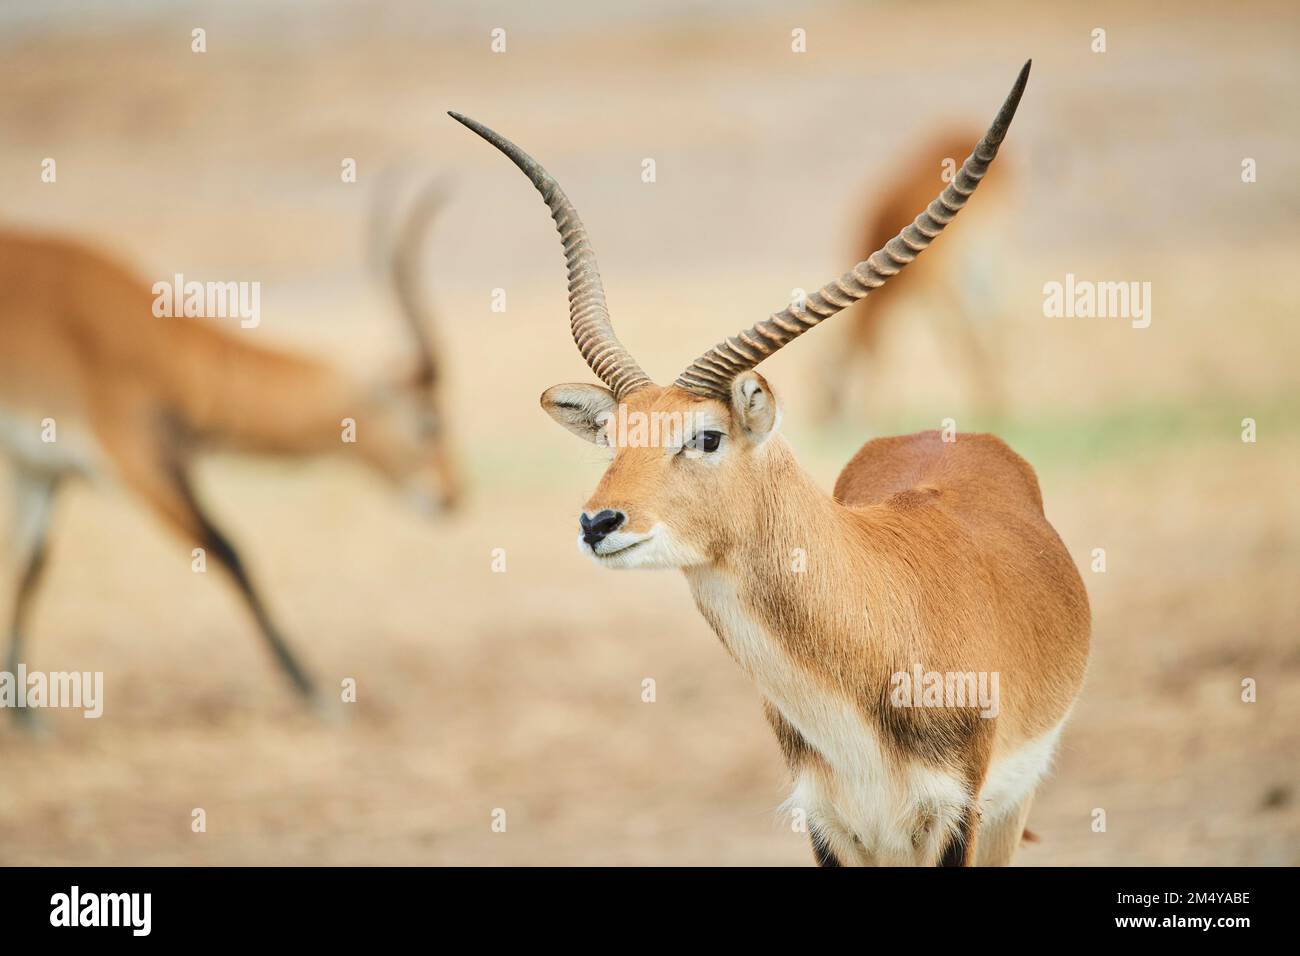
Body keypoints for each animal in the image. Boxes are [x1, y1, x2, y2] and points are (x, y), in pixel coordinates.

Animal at [0, 180, 462, 717]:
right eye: (430, 422)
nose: (452, 496)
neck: (156, 342)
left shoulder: (41, 467)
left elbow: (30, 565)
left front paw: (24, 712)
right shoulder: (141, 461)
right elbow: (229, 550)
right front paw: (316, 694)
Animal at [821, 128, 1013, 421]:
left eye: (827, 389)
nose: (823, 420)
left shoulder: (926, 283)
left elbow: (897, 345)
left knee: (973, 326)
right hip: (987, 257)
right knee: (996, 319)